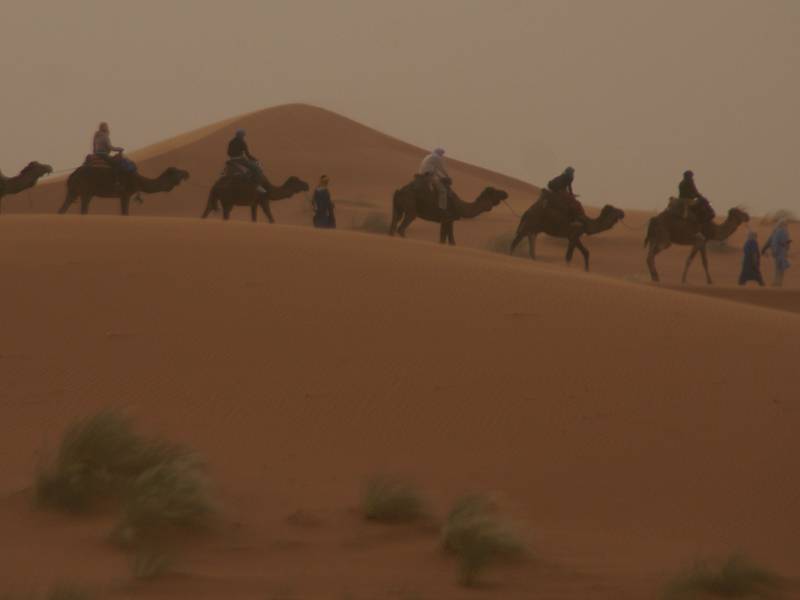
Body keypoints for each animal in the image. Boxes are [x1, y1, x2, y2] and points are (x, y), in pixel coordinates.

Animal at [58, 163, 190, 217]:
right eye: (177, 172)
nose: (187, 173)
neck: (139, 181)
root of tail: (72, 175)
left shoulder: (123, 195)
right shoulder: (125, 194)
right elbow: (125, 213)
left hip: (76, 191)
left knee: (65, 207)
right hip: (85, 190)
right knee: (83, 209)